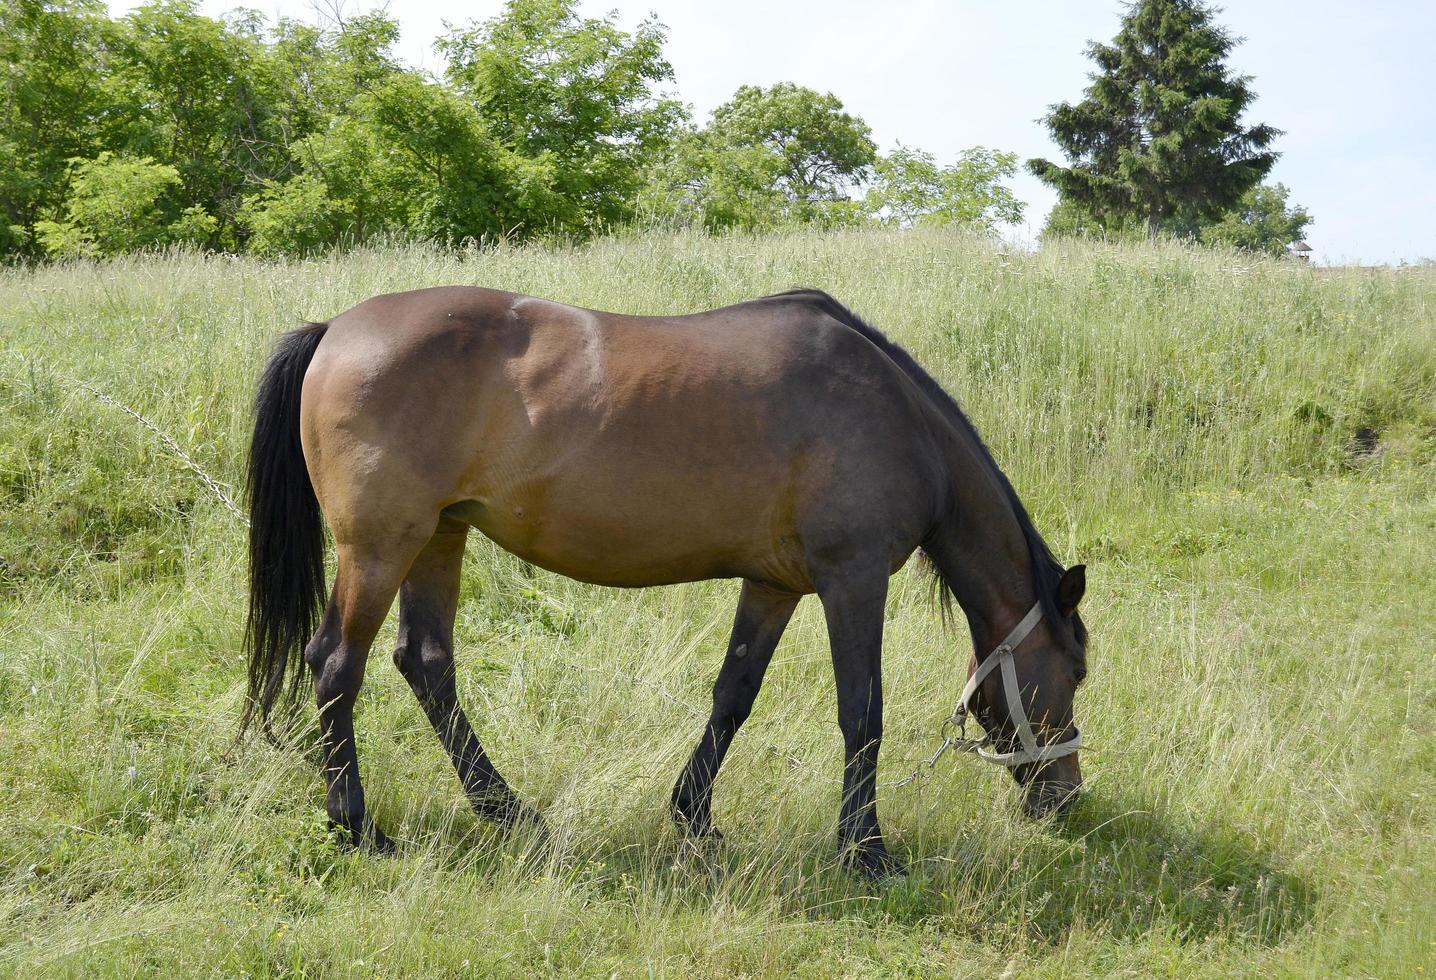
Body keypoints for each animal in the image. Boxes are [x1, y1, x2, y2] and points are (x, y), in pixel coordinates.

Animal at [244, 283, 1085, 867]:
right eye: (1075, 672)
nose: (1066, 797)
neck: (896, 419)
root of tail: (335, 329)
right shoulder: (854, 581)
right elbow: (862, 714)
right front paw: (864, 849)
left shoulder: (775, 586)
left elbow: (734, 696)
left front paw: (694, 816)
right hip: (382, 547)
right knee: (336, 665)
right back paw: (357, 825)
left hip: (439, 538)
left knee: (427, 664)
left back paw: (508, 811)